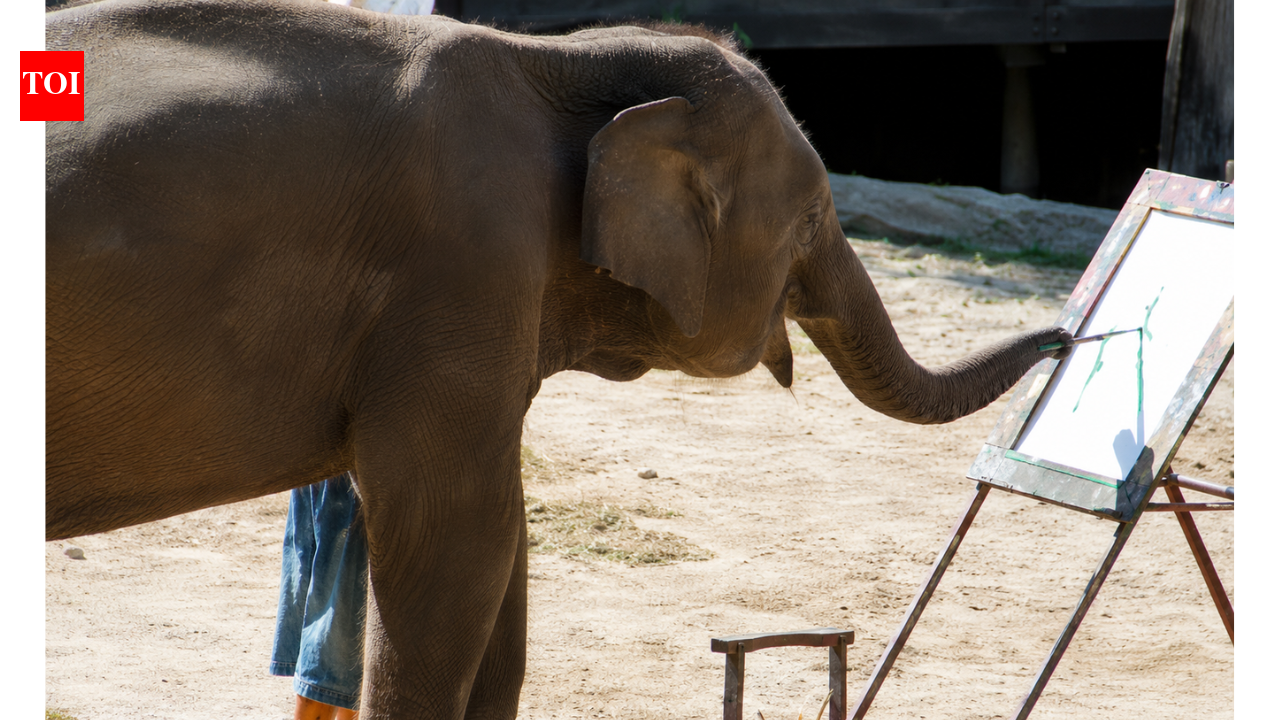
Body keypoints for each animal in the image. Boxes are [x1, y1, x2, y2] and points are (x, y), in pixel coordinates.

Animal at [45, 1, 1072, 717]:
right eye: (816, 217)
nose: (1068, 335)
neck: (557, 59)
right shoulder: (462, 269)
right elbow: (455, 539)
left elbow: (505, 545)